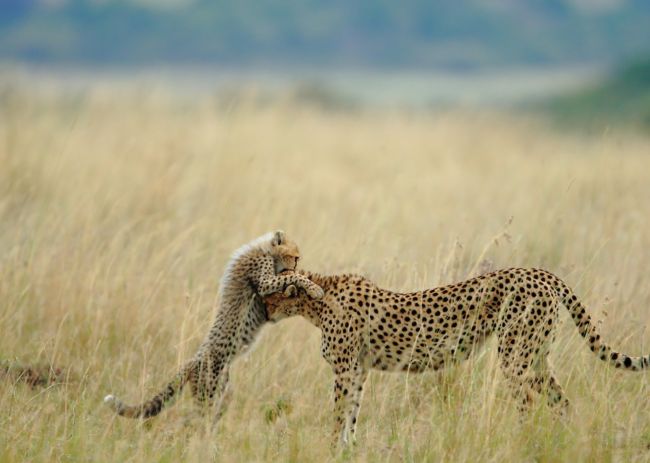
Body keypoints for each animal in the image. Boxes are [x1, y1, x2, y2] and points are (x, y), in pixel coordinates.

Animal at [105, 231, 324, 420]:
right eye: (295, 257)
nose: (296, 264)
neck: (265, 250)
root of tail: (192, 361)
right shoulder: (264, 282)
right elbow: (289, 278)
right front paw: (314, 288)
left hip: (222, 392)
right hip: (207, 394)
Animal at [264, 270, 648, 448]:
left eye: (267, 297)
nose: (262, 313)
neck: (315, 299)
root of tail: (540, 272)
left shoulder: (346, 371)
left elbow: (338, 416)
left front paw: (331, 449)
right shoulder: (358, 371)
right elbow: (351, 417)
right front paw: (349, 449)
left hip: (514, 355)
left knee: (527, 400)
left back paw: (522, 441)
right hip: (536, 356)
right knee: (562, 402)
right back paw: (558, 441)